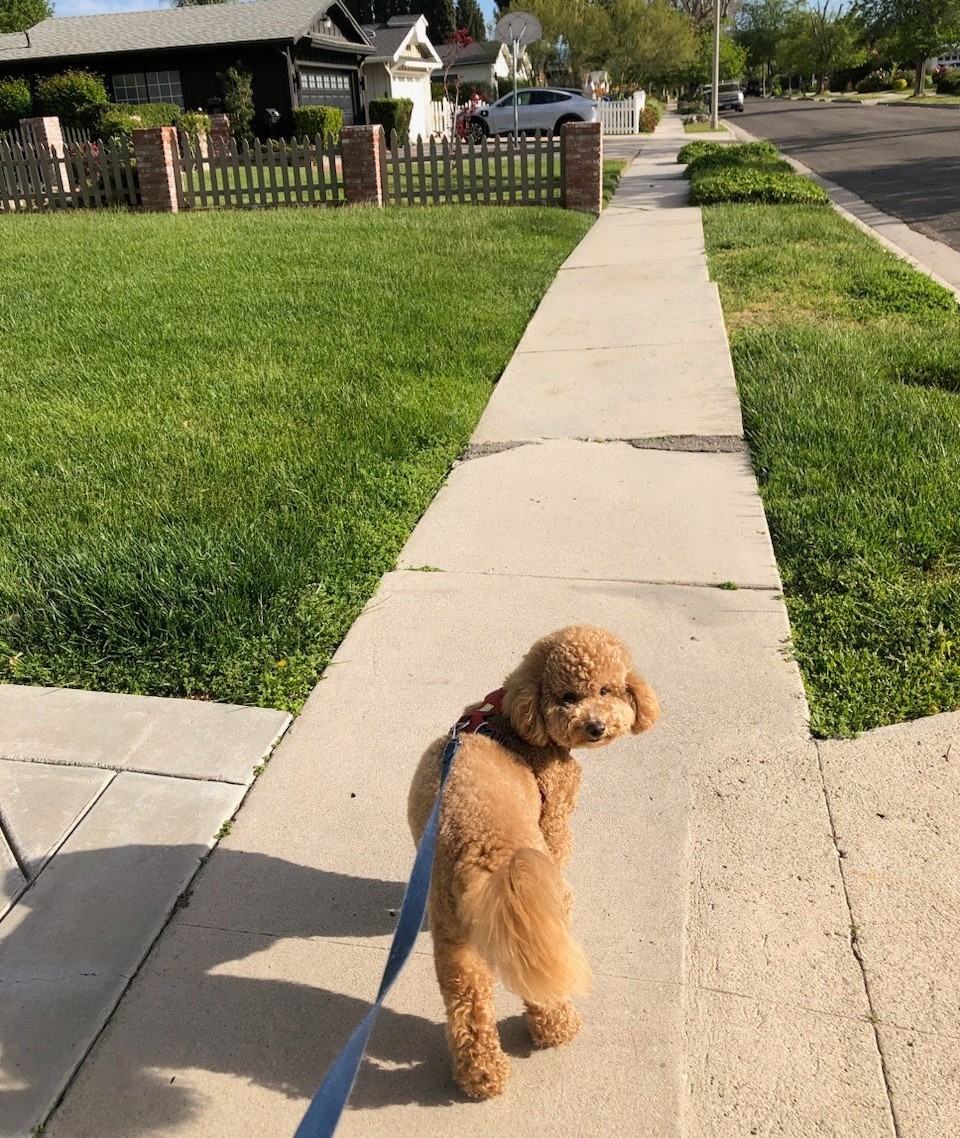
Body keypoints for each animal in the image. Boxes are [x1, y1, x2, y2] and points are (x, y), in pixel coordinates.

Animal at [404, 628, 659, 1097]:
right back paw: (559, 1029)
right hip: (538, 912)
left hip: (455, 943)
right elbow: (561, 842)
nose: (596, 727)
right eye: (568, 696)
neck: (514, 719)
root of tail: (481, 857)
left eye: (605, 689)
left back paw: (482, 1076)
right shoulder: (555, 813)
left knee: (469, 1006)